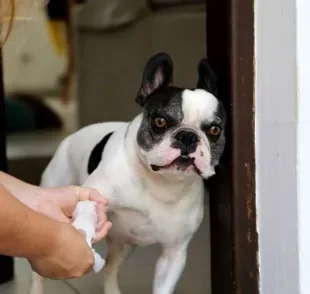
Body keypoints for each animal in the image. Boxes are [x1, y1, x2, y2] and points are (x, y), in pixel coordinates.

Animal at [30, 52, 225, 294]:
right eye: (160, 121)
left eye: (215, 130)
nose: (188, 136)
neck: (161, 183)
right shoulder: (93, 194)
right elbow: (87, 211)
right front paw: (83, 231)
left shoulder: (173, 254)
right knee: (38, 275)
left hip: (123, 244)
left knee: (110, 268)